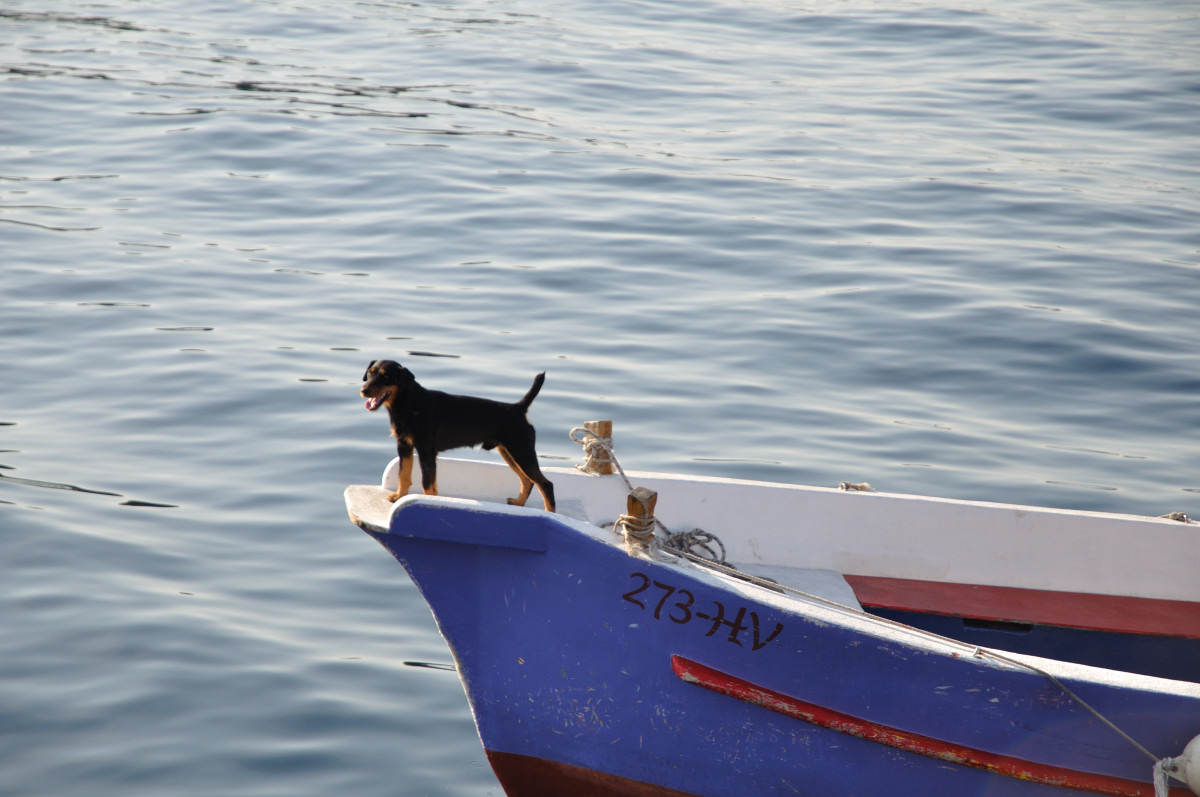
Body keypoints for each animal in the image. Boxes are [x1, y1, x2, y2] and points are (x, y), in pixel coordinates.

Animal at [360, 360, 556, 513]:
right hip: (509, 452)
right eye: (369, 373)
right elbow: (404, 474)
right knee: (527, 481)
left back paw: (551, 513)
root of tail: (518, 408)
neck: (408, 403)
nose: (363, 390)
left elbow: (427, 483)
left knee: (545, 484)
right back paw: (518, 502)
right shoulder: (404, 446)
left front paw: (428, 501)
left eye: (385, 376)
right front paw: (399, 496)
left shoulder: (426, 451)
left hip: (521, 451)